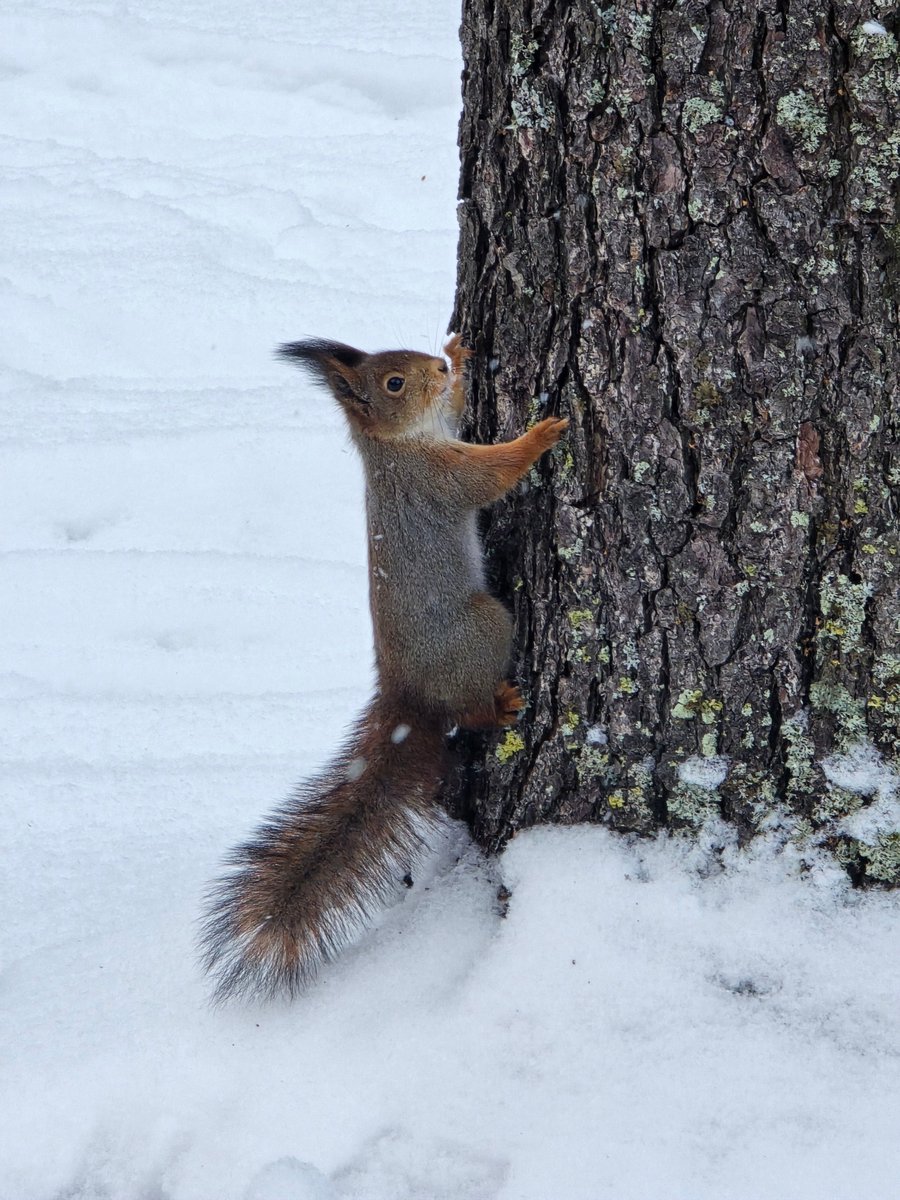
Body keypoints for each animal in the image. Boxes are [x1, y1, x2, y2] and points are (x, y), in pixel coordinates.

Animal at [200, 333, 568, 1001]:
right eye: (394, 384)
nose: (437, 367)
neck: (399, 445)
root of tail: (407, 698)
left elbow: (458, 409)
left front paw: (459, 357)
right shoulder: (439, 479)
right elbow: (490, 477)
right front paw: (537, 437)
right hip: (485, 627)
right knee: (469, 709)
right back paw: (498, 705)